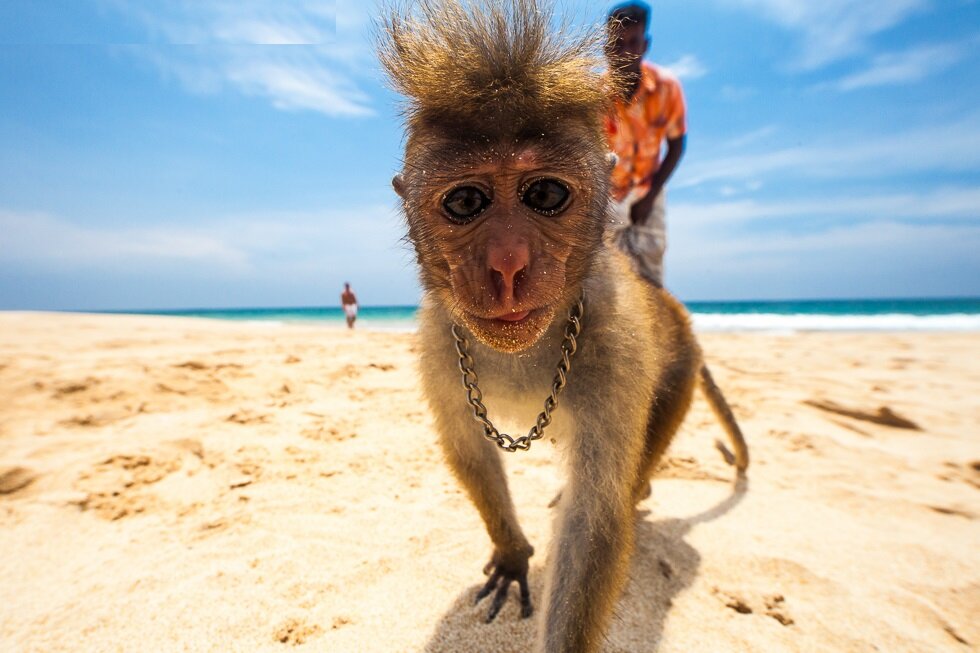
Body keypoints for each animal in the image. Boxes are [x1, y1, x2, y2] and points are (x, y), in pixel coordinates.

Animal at [378, 2, 748, 648]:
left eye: (546, 194)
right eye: (465, 203)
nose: (507, 264)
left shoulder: (616, 346)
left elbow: (593, 522)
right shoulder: (438, 341)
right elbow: (468, 449)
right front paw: (512, 553)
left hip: (677, 374)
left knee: (632, 472)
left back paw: (640, 489)